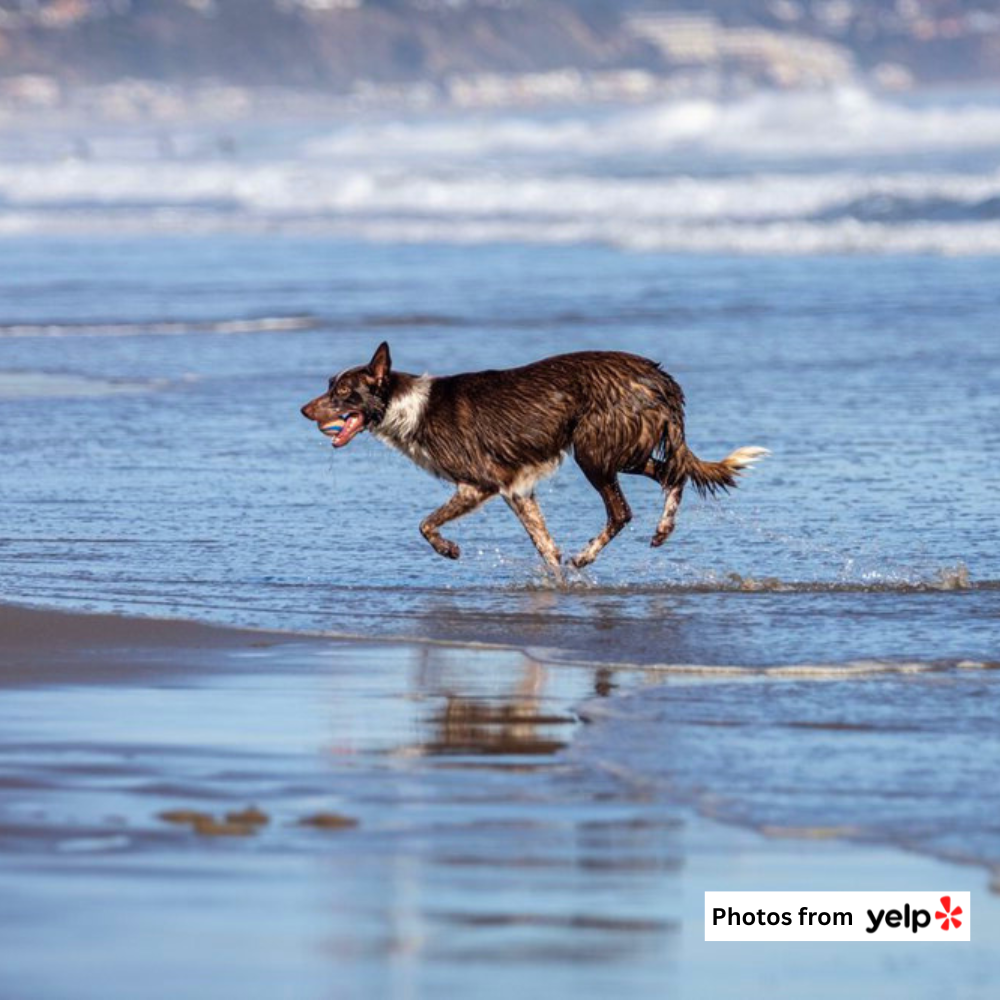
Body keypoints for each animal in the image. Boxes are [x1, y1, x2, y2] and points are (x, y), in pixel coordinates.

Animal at [300, 344, 768, 576]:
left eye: (344, 393)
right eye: (329, 386)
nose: (303, 410)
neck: (406, 405)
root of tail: (659, 377)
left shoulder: (481, 484)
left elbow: (425, 524)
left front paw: (448, 550)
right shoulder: (517, 490)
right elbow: (545, 547)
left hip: (593, 452)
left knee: (622, 511)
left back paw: (588, 556)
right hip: (625, 451)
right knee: (674, 475)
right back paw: (662, 530)